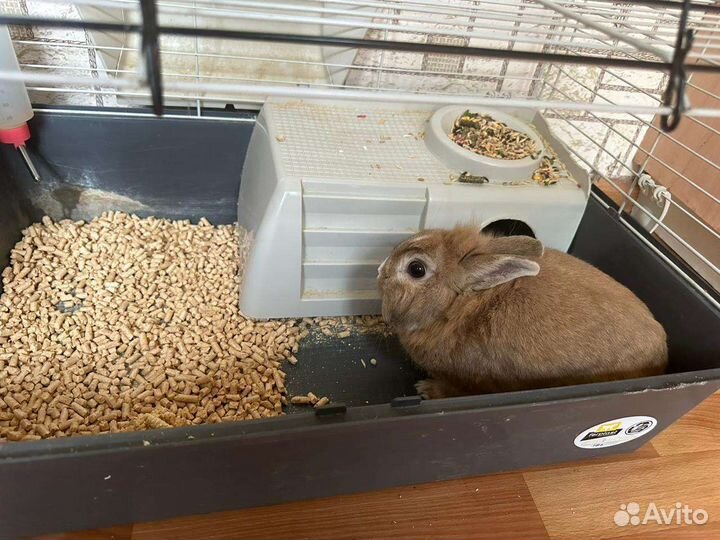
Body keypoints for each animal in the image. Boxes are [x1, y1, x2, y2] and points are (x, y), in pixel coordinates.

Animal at [377, 226, 668, 399]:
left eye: (416, 269)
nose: (380, 270)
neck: (458, 309)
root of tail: (662, 357)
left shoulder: (468, 381)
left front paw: (425, 389)